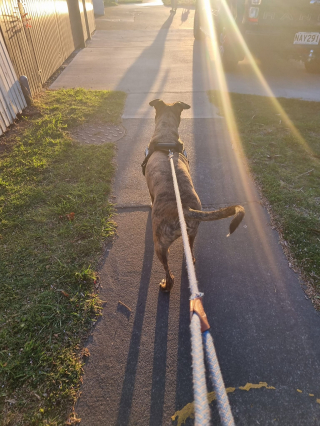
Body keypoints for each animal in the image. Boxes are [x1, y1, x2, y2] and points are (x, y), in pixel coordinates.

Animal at [145, 99, 245, 292]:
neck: (166, 139)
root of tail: (184, 209)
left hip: (160, 245)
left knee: (169, 273)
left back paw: (166, 286)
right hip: (192, 235)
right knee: (190, 253)